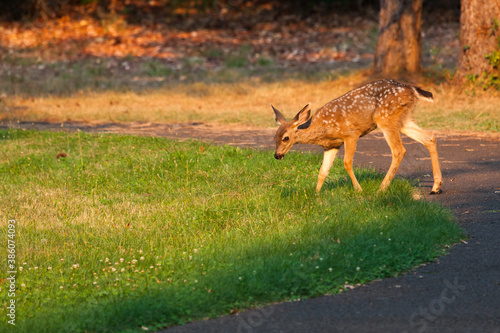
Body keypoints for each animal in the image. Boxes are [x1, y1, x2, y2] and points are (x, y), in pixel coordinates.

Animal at [272, 80, 444, 195]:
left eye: (286, 138)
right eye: (275, 137)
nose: (277, 155)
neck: (323, 128)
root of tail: (413, 89)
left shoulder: (351, 134)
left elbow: (347, 163)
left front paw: (359, 190)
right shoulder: (332, 146)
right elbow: (322, 171)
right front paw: (316, 194)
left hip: (386, 119)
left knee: (399, 150)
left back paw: (381, 189)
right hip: (403, 120)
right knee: (429, 138)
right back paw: (436, 187)